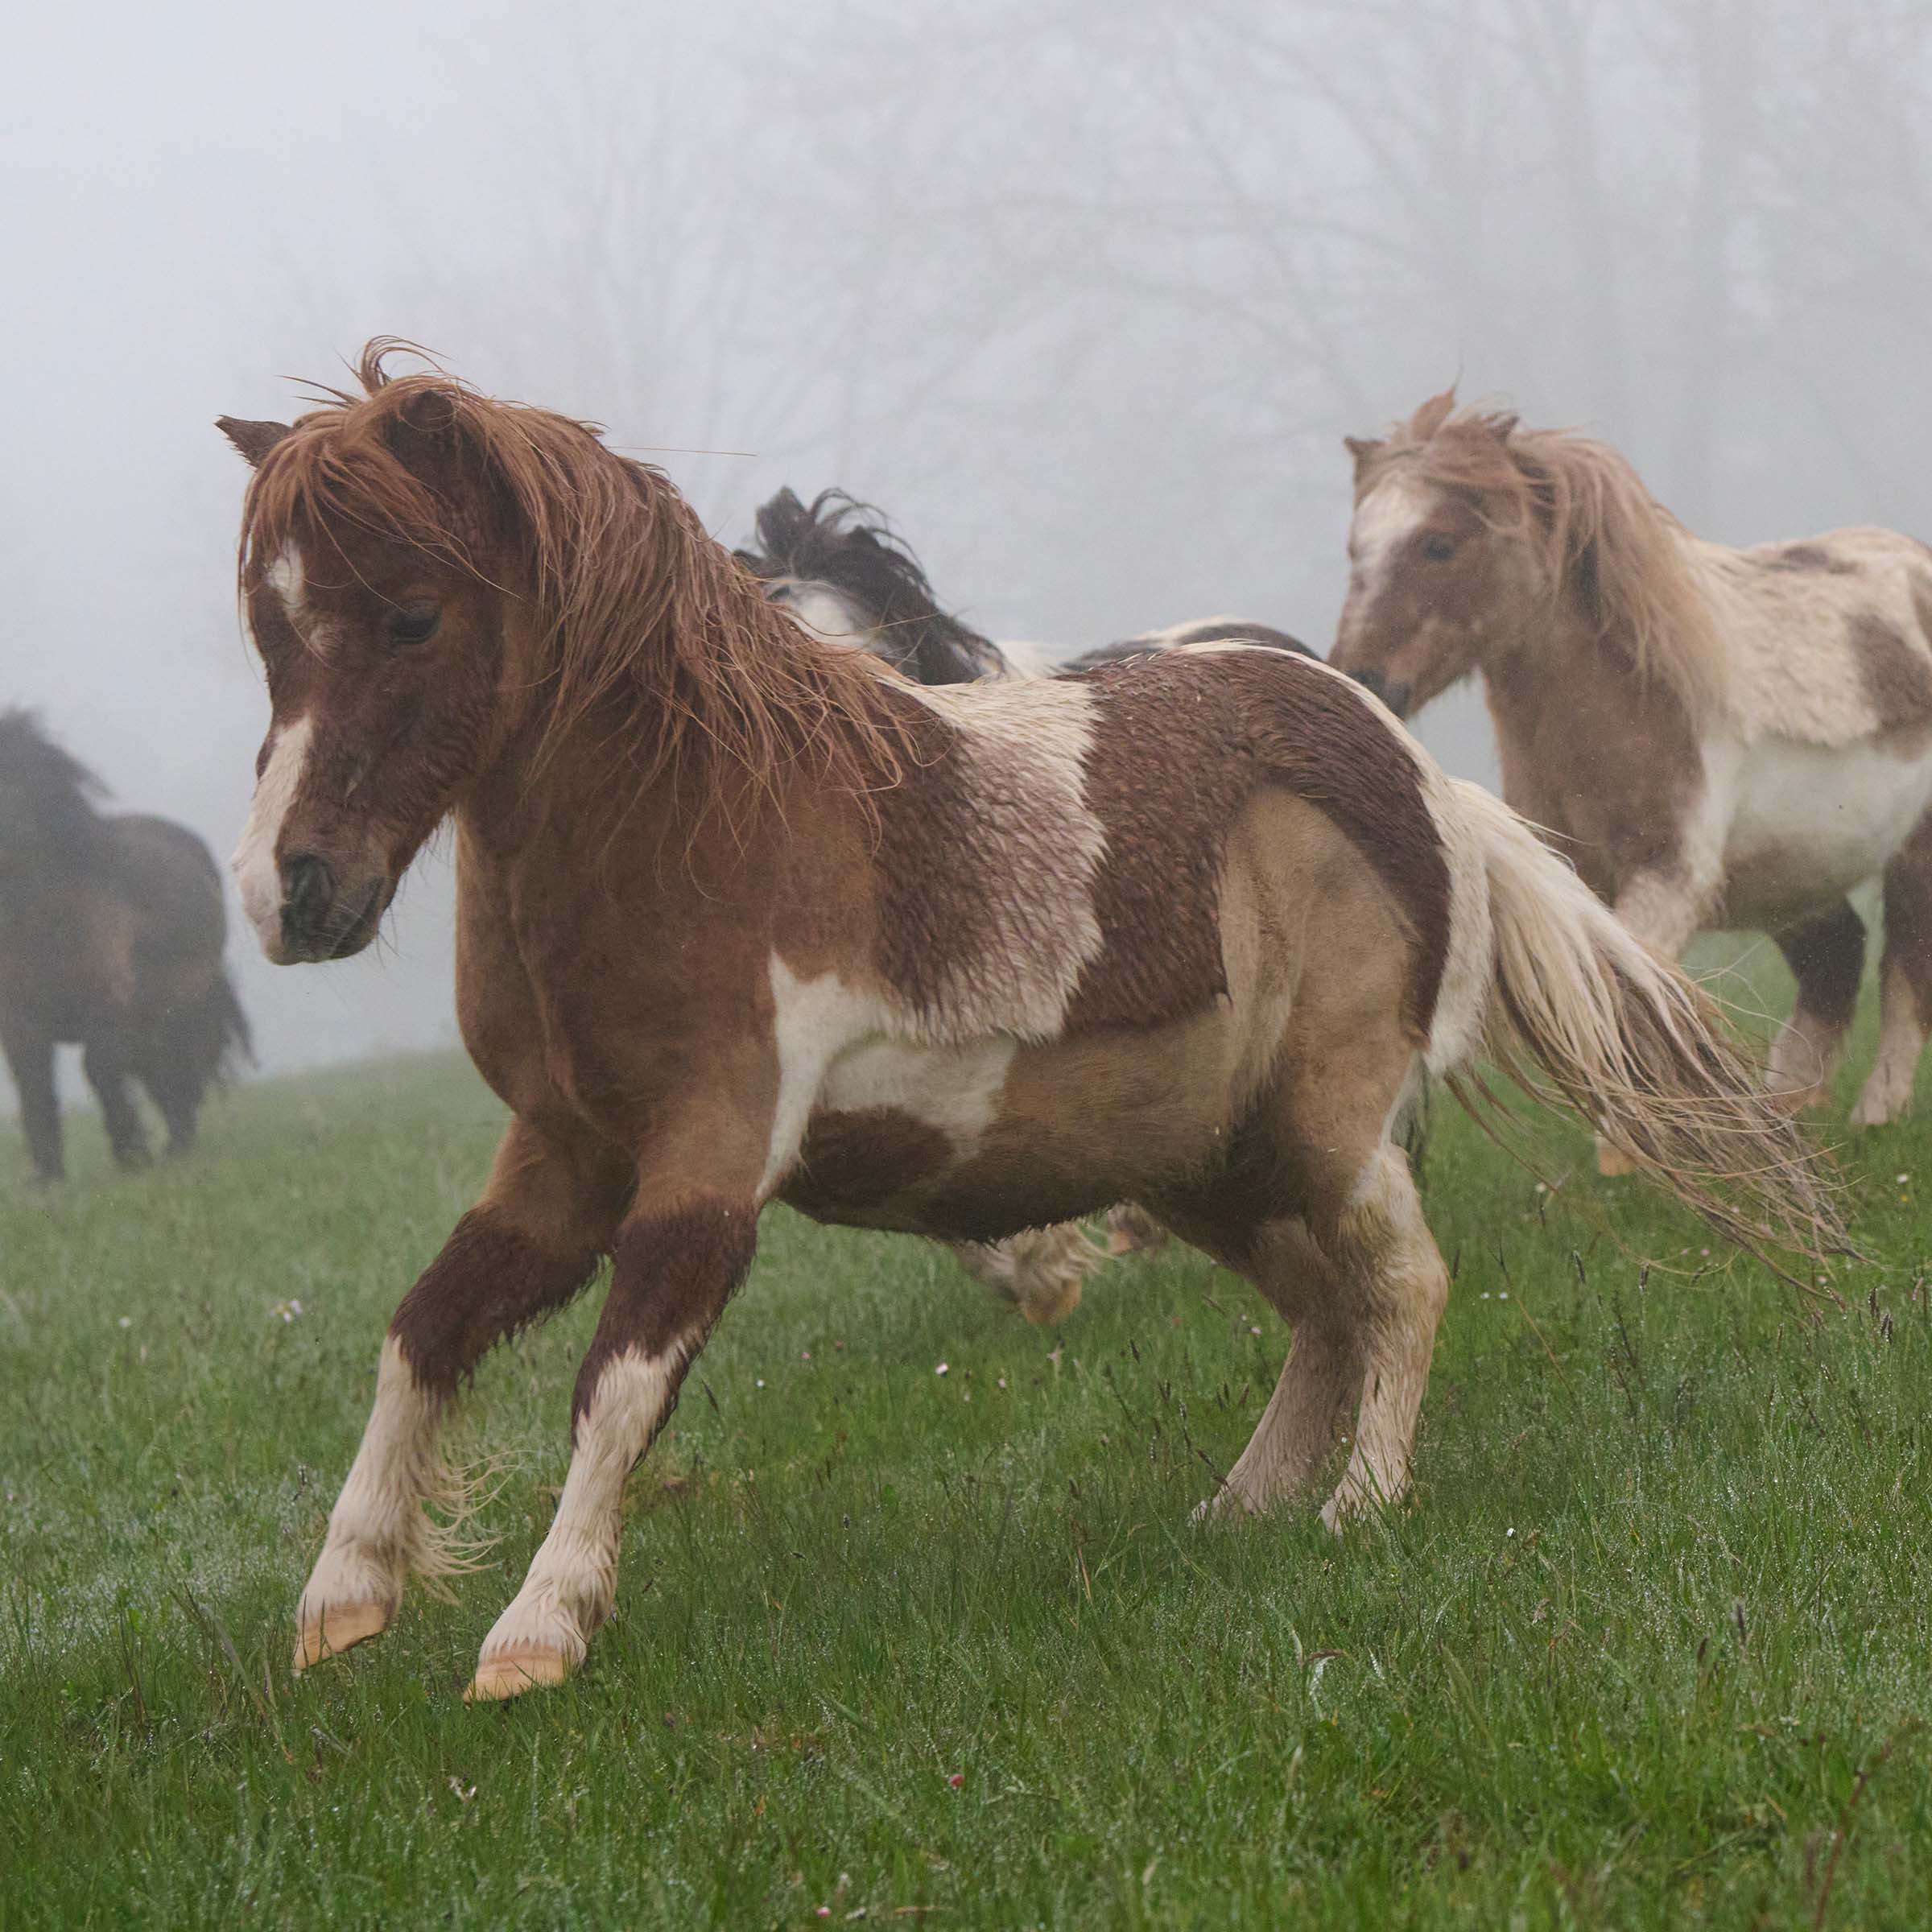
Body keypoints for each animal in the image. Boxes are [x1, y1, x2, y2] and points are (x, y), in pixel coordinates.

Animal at [0, 710, 251, 1186]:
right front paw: (47, 1179)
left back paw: (177, 1146)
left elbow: (99, 1069)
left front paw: (131, 1155)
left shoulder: (109, 1007)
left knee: (174, 1070)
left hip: (174, 1013)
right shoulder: (21, 1023)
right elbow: (35, 1087)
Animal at [218, 347, 1838, 1703]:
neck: (699, 819)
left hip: (1327, 1129)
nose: (293, 893)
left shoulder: (709, 1159)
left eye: (411, 615)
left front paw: (536, 1633)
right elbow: (423, 1333)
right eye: (267, 633)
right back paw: (1236, 1507)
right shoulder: (560, 1155)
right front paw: (340, 1602)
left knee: (1404, 1285)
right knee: (1322, 1309)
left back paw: (1360, 1504)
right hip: (1202, 1164)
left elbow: (615, 1386)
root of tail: (1419, 774)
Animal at [1329, 390, 1932, 1138]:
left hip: (1909, 858)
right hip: (1794, 879)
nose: (1364, 680)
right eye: (1356, 549)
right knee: (1837, 963)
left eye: (1439, 543)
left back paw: (1875, 1115)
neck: (1627, 698)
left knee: (1903, 976)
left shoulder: (1668, 876)